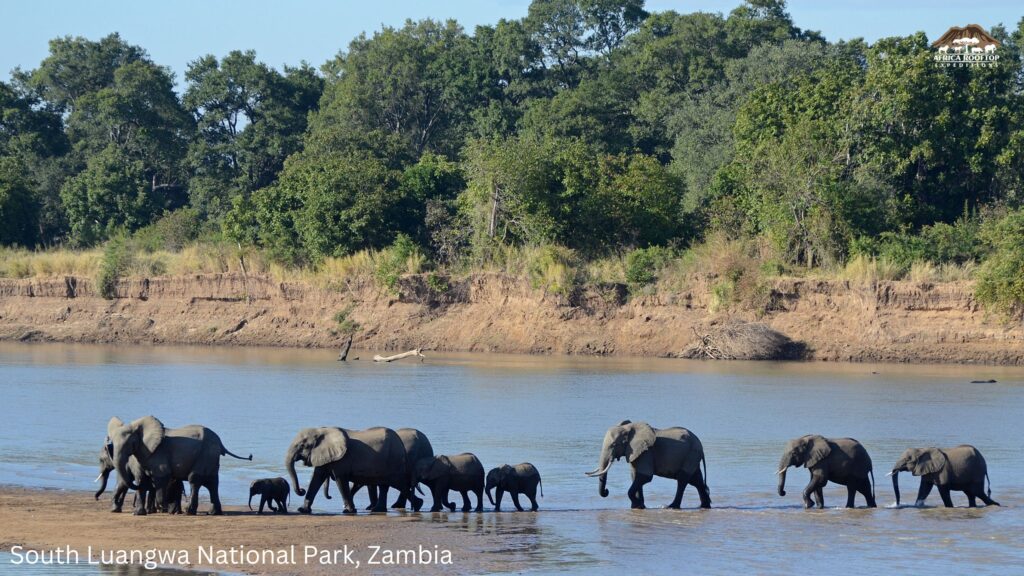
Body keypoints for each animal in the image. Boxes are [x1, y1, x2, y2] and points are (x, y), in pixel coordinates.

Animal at [106, 414, 251, 512]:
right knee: (213, 483)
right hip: (212, 458)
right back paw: (213, 512)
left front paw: (162, 508)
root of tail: (220, 442)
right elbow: (142, 478)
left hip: (206, 454)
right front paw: (139, 512)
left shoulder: (159, 453)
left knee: (194, 479)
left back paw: (189, 511)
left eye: (130, 443)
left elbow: (161, 476)